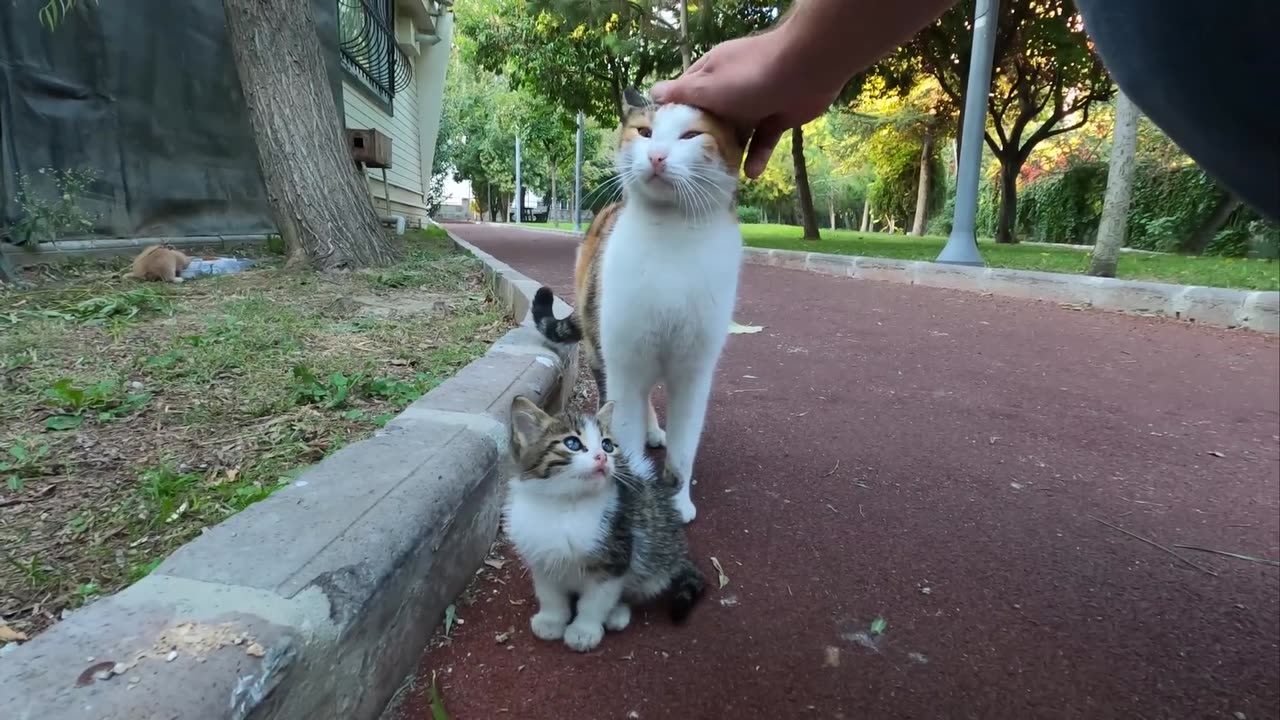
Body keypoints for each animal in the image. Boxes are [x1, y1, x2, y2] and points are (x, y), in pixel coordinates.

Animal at [499, 392, 706, 650]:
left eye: (607, 444)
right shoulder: (541, 556)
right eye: (572, 443)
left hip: (654, 554)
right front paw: (551, 620)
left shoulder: (616, 554)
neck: (565, 505)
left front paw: (584, 630)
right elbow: (549, 594)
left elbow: (596, 599)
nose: (602, 456)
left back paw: (618, 613)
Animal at [529, 87, 747, 520]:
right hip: (600, 347)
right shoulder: (624, 360)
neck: (672, 236)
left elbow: (684, 447)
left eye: (691, 135)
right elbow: (621, 431)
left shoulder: (694, 371)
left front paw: (678, 500)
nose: (657, 155)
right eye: (644, 132)